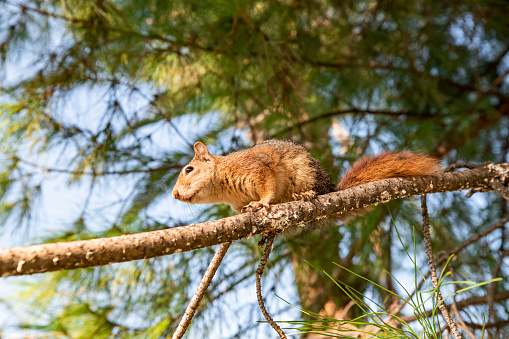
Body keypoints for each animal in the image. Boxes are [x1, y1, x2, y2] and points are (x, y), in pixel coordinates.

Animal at [172, 140, 440, 215]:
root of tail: (331, 188)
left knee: (316, 190)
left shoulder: (258, 169)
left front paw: (261, 203)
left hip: (305, 174)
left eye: (189, 169)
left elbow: (268, 187)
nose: (174, 195)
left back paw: (308, 194)